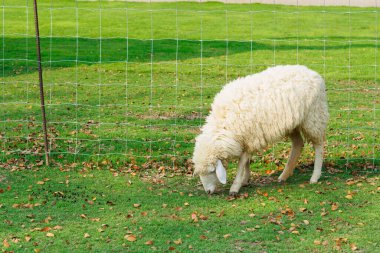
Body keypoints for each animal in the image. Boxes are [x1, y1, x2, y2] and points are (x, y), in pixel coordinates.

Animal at [193, 64, 330, 195]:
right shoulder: (244, 139)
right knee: (298, 144)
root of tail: (315, 74)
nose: (208, 192)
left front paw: (235, 187)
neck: (224, 122)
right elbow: (246, 162)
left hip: (313, 117)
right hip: (293, 123)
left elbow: (241, 163)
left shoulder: (249, 137)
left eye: (212, 171)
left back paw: (315, 176)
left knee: (318, 146)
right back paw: (284, 175)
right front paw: (245, 180)